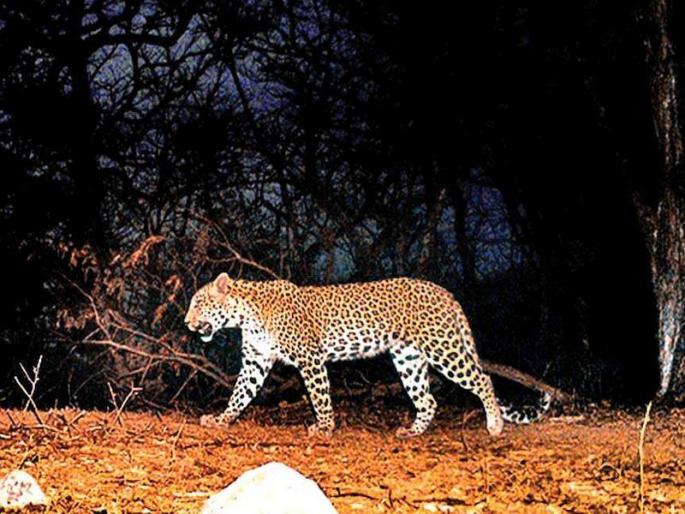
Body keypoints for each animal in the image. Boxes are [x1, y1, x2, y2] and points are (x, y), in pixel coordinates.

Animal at [185, 273, 550, 437]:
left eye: (199, 303)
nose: (187, 322)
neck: (247, 315)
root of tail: (445, 292)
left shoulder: (310, 358)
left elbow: (319, 395)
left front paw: (325, 427)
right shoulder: (256, 362)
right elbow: (239, 394)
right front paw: (221, 419)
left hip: (442, 347)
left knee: (483, 378)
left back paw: (495, 424)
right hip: (408, 358)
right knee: (428, 399)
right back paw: (413, 432)